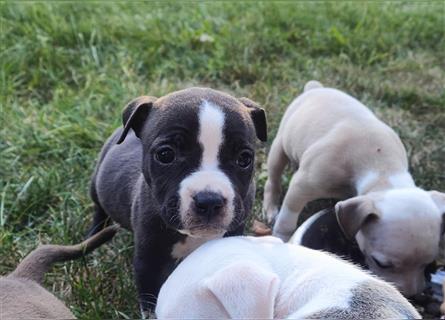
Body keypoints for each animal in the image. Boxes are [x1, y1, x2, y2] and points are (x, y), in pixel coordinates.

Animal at [87, 86, 268, 314]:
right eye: (165, 155)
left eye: (244, 159)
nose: (209, 201)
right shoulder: (149, 262)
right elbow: (151, 304)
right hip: (96, 184)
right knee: (99, 209)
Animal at [264, 80, 444, 298]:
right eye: (381, 263)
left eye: (428, 264)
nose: (409, 295)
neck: (382, 168)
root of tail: (316, 88)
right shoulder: (302, 186)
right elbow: (287, 219)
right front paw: (280, 238)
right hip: (280, 147)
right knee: (273, 178)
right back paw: (270, 207)